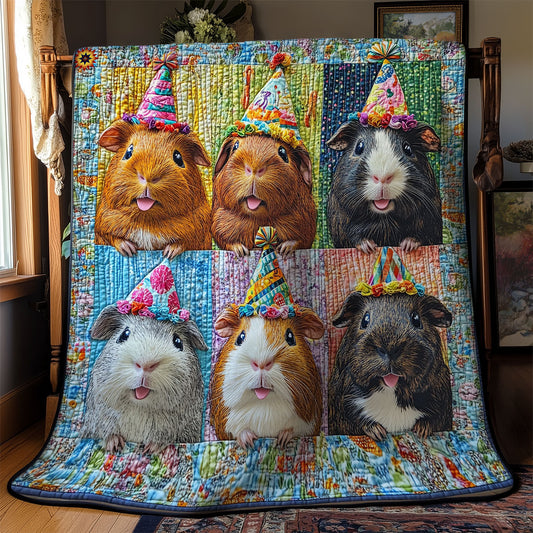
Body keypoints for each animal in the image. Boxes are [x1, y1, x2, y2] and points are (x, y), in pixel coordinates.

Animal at [81, 305, 207, 453]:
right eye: (124, 334)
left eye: (178, 342)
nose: (146, 364)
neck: (139, 408)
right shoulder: (100, 417)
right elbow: (107, 431)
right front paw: (115, 445)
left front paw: (151, 448)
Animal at [95, 120, 212, 258]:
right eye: (128, 151)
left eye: (178, 158)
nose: (148, 175)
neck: (147, 222)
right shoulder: (102, 225)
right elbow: (113, 237)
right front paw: (129, 250)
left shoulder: (199, 231)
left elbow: (185, 243)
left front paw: (169, 253)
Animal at [210, 305, 325, 448]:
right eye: (240, 338)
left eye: (290, 337)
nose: (261, 363)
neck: (264, 409)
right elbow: (239, 431)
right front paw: (248, 441)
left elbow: (294, 430)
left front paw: (283, 440)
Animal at [326, 120, 442, 253]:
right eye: (359, 147)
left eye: (407, 149)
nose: (382, 177)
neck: (385, 220)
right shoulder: (343, 226)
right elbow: (355, 237)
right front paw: (369, 248)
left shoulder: (429, 222)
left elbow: (420, 235)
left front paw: (407, 246)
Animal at [328, 291, 453, 440]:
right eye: (365, 320)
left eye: (416, 319)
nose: (390, 349)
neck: (391, 392)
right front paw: (378, 433)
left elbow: (432, 419)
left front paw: (421, 431)